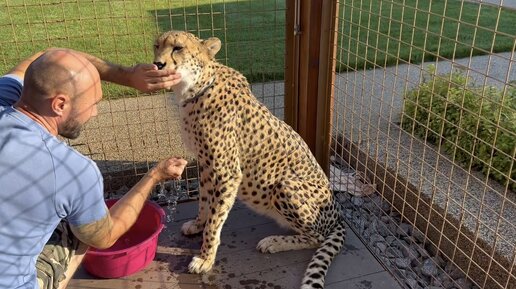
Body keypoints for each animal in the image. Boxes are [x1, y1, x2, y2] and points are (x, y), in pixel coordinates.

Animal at [153, 30, 346, 286]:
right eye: (156, 46)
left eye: (178, 48)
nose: (157, 64)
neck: (196, 87)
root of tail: (338, 213)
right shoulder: (206, 165)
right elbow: (204, 202)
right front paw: (197, 224)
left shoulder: (227, 174)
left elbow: (215, 220)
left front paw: (205, 258)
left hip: (285, 185)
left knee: (317, 236)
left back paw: (273, 242)